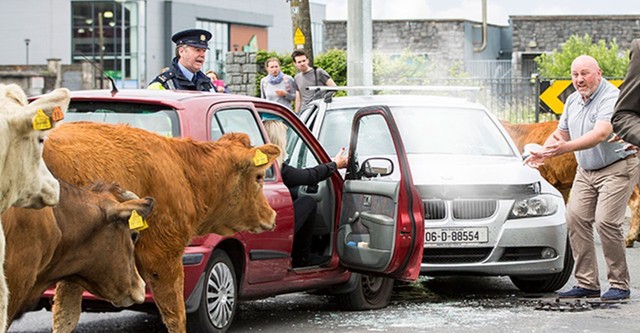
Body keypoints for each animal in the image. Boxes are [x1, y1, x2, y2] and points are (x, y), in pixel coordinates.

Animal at [42, 122, 278, 332]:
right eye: (259, 176)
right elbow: (176, 314)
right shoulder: (163, 257)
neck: (183, 170)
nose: (272, 215)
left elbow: (66, 317)